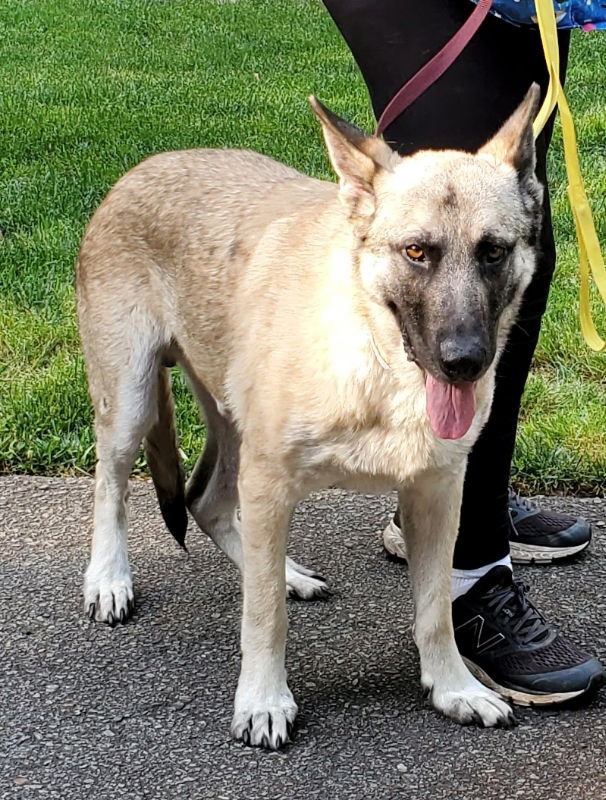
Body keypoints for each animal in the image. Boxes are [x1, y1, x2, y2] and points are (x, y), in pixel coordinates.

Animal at [77, 86, 548, 752]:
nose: (465, 363)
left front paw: (453, 686)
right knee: (113, 487)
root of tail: (141, 169)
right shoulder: (271, 483)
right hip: (133, 404)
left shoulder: (436, 493)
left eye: (494, 252)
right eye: (416, 252)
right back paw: (109, 578)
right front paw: (263, 699)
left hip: (230, 425)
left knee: (206, 502)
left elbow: (434, 608)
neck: (378, 357)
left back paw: (282, 570)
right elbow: (264, 615)